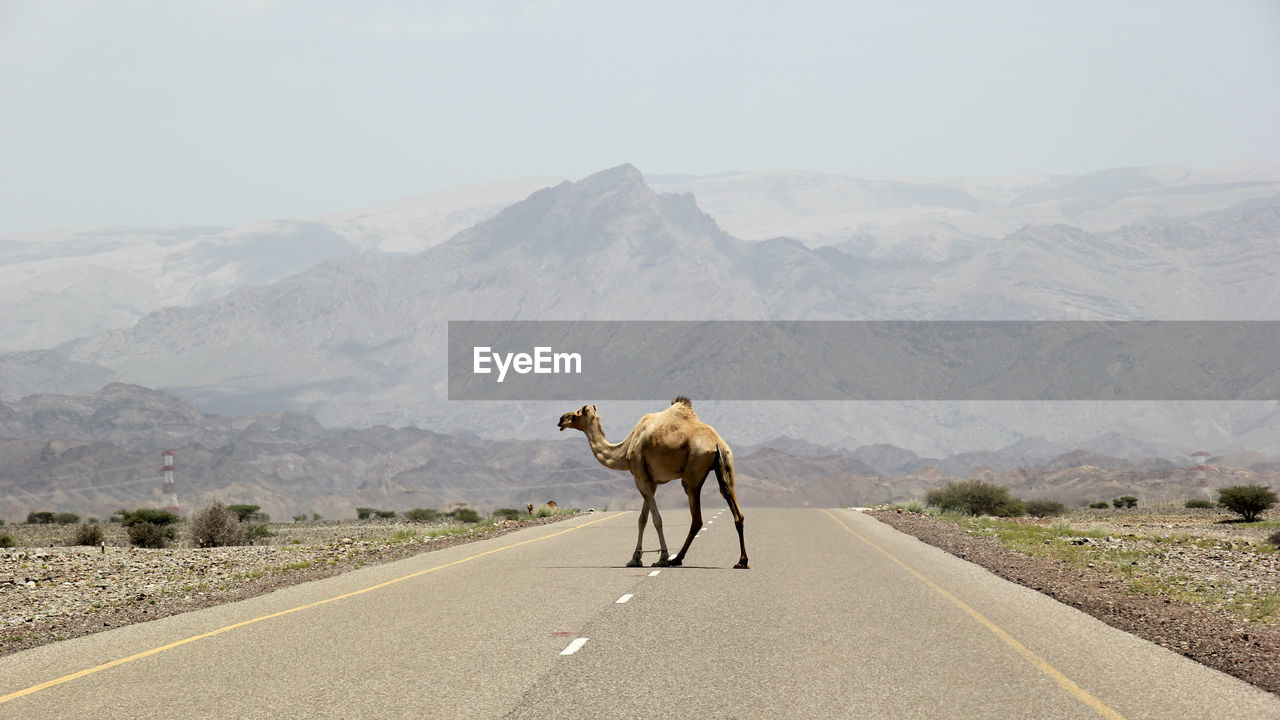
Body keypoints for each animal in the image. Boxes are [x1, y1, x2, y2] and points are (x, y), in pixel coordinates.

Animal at [560, 392, 747, 566]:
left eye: (577, 413)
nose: (561, 419)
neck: (625, 448)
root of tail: (717, 444)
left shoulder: (640, 477)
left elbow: (656, 519)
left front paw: (662, 557)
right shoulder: (651, 481)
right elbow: (642, 519)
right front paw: (635, 559)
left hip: (693, 473)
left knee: (697, 519)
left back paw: (676, 559)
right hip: (726, 465)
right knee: (734, 506)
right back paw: (742, 561)